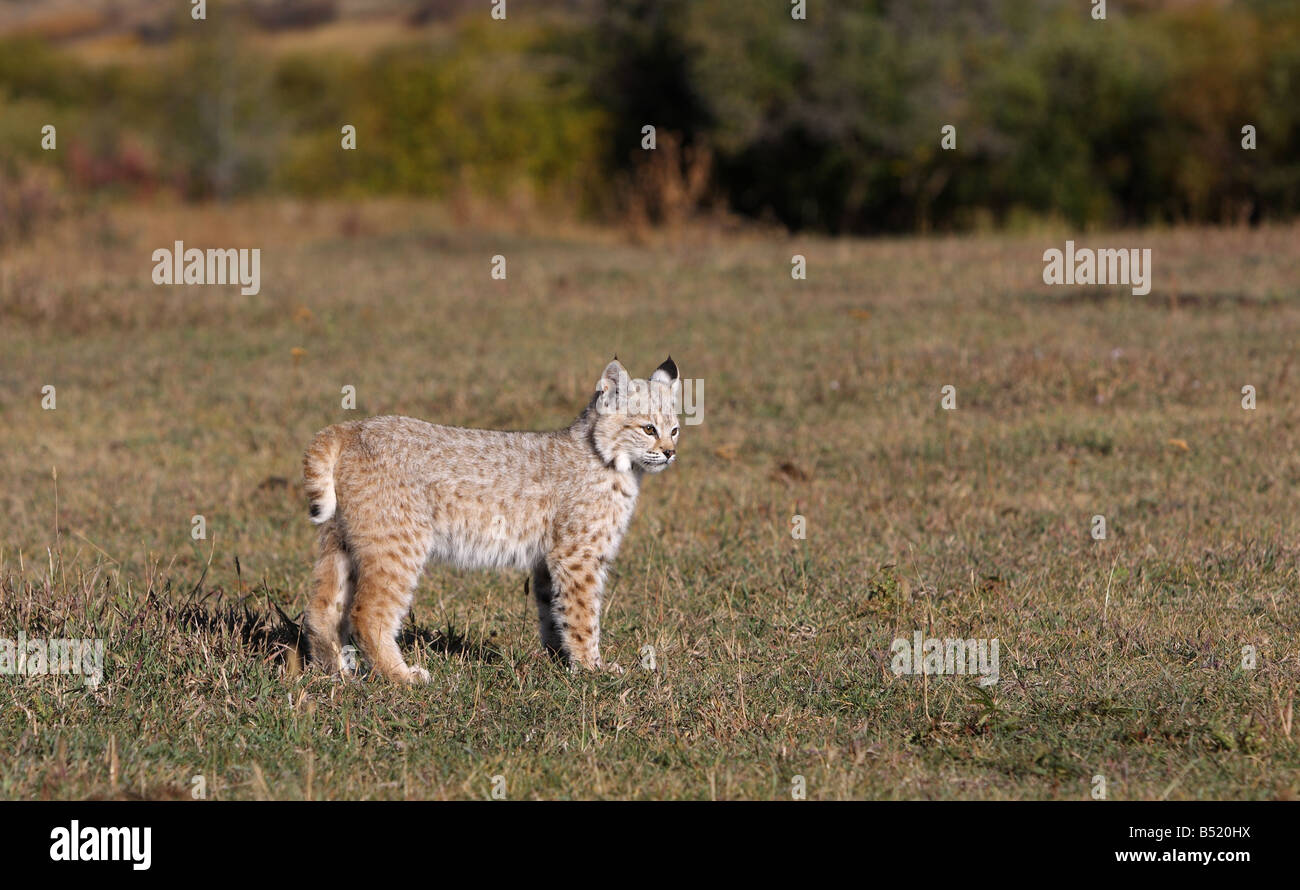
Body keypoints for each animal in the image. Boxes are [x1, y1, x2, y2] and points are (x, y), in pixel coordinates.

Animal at [301, 353, 681, 680]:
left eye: (675, 429)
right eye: (648, 429)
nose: (669, 453)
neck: (613, 461)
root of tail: (353, 427)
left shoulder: (549, 558)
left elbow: (553, 611)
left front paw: (559, 661)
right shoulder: (578, 555)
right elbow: (583, 614)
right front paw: (592, 669)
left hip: (341, 539)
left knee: (322, 608)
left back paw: (337, 674)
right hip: (399, 542)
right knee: (366, 613)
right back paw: (402, 677)